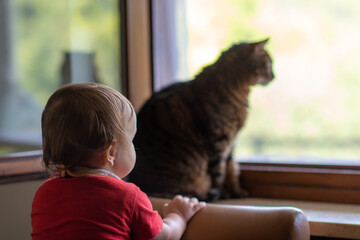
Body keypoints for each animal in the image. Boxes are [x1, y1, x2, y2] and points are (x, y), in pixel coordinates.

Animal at [128, 39, 274, 201]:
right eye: (268, 64)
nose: (274, 76)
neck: (241, 93)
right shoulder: (219, 142)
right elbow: (219, 174)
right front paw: (225, 193)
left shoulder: (231, 142)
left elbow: (230, 168)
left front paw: (236, 192)